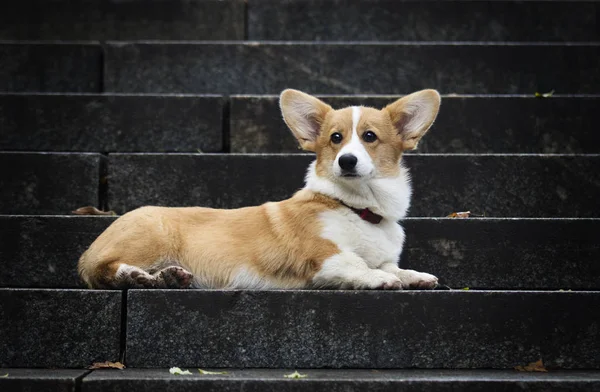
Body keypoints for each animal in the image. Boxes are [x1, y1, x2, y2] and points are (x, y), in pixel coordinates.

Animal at [78, 89, 440, 290]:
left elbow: (390, 265)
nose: (347, 161)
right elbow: (359, 265)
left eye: (369, 136)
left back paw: (164, 278)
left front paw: (414, 275)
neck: (360, 208)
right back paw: (134, 276)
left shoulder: (381, 254)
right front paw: (381, 279)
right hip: (150, 238)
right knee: (104, 270)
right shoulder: (323, 255)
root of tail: (88, 249)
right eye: (335, 138)